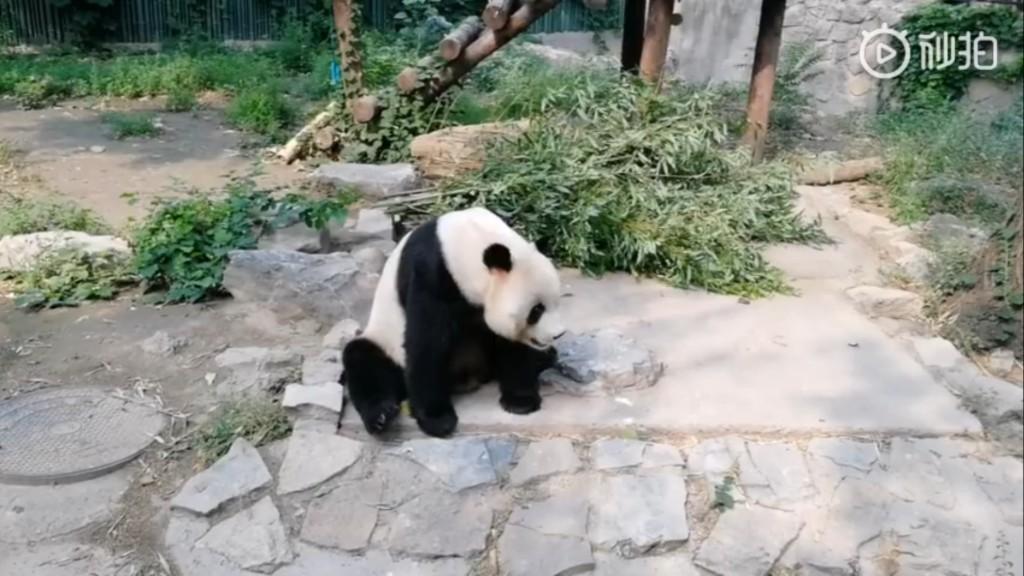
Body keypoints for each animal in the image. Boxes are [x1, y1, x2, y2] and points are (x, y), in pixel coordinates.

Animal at [341, 206, 566, 438]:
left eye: (556, 301)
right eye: (537, 310)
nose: (558, 334)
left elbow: (512, 345)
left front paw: (521, 400)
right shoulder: (431, 276)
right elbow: (426, 343)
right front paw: (437, 420)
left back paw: (546, 358)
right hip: (386, 341)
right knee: (364, 360)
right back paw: (380, 416)